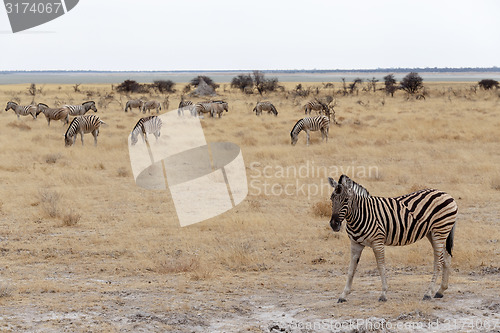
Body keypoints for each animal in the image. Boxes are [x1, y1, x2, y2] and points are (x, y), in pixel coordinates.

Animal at [328, 175, 458, 302]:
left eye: (346, 200)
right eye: (331, 199)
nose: (334, 224)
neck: (360, 214)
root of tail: (446, 194)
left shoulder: (378, 242)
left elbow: (381, 267)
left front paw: (383, 294)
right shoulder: (355, 244)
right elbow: (351, 269)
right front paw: (343, 295)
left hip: (440, 231)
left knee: (438, 261)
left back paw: (428, 293)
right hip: (433, 233)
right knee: (446, 258)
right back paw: (440, 291)